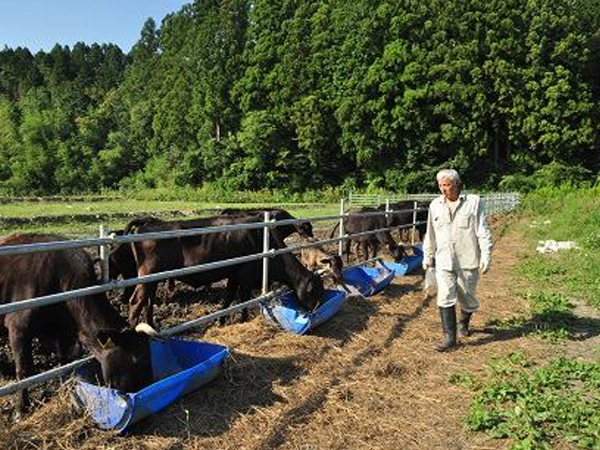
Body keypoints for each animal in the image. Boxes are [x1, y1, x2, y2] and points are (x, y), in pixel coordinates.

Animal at [0, 236, 155, 414]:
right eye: (135, 360)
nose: (146, 387)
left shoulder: (62, 332)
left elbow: (64, 362)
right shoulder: (18, 327)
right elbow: (24, 371)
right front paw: (21, 408)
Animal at [118, 215, 324, 326]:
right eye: (315, 291)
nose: (316, 311)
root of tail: (149, 223)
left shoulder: (234, 275)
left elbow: (227, 299)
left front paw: (222, 321)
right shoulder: (245, 276)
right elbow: (243, 299)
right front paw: (243, 319)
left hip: (152, 280)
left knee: (148, 302)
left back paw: (152, 325)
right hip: (146, 276)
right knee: (135, 301)